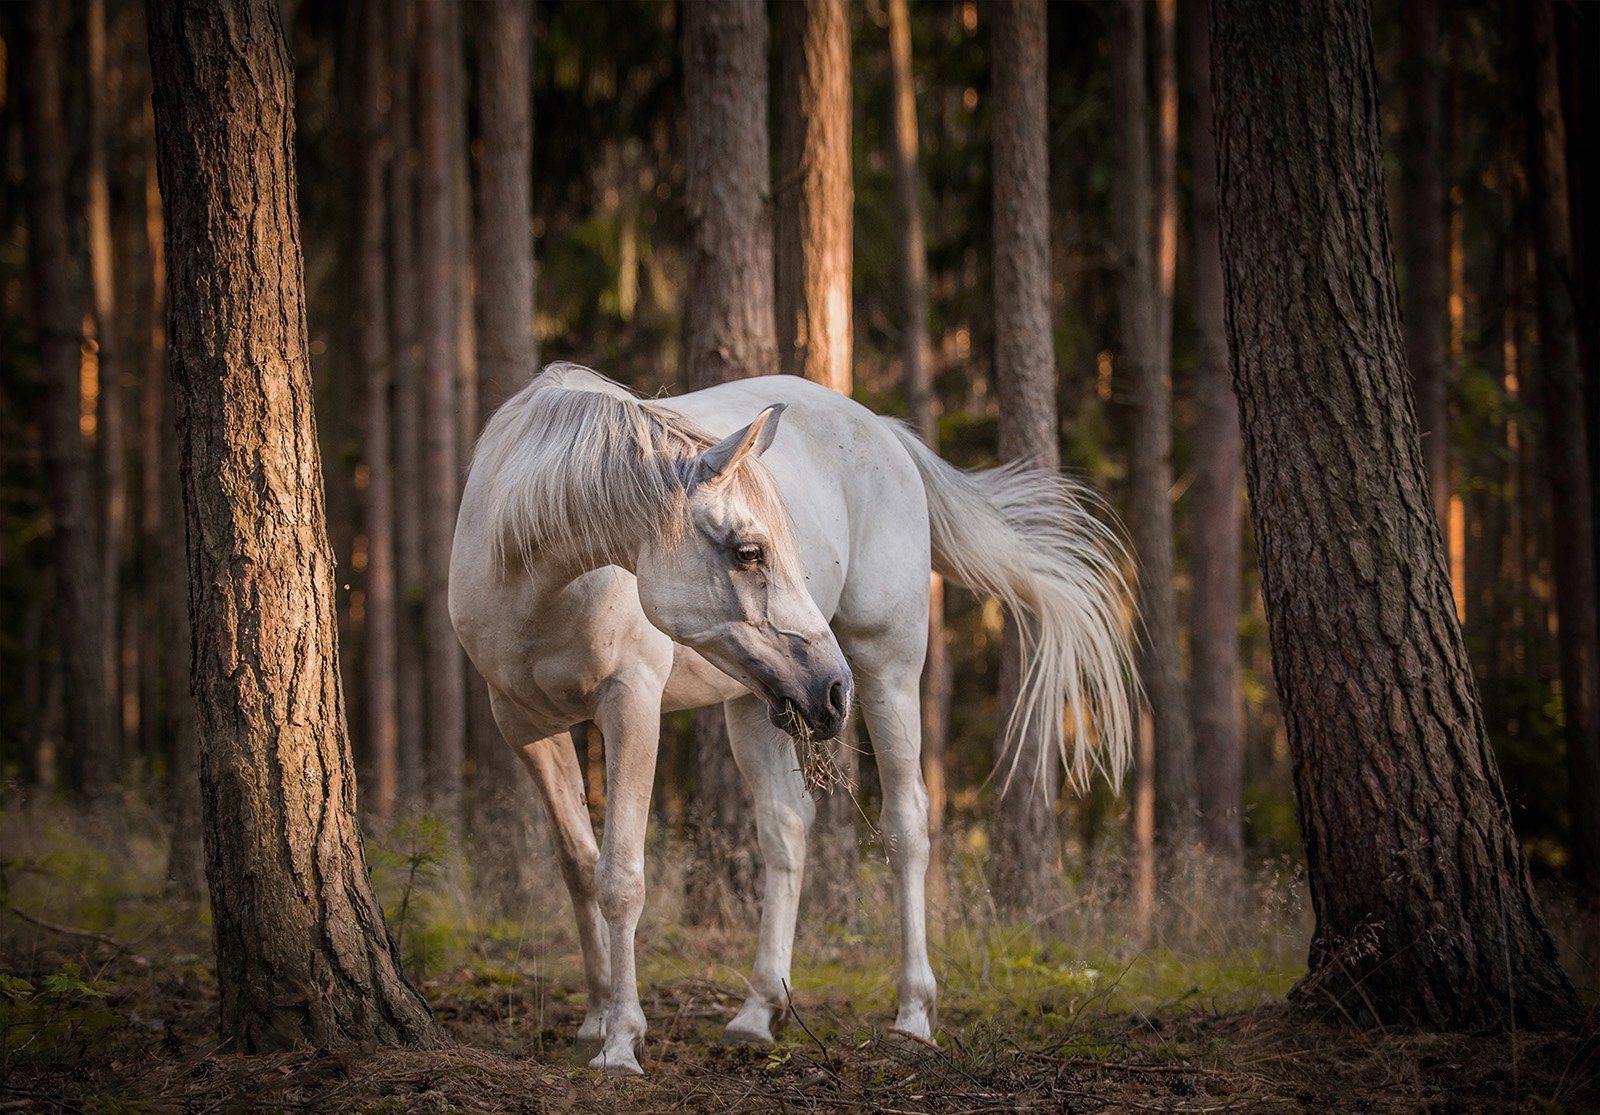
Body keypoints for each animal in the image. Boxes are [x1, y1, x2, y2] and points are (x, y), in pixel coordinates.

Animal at [444, 363, 1132, 1068]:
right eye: (749, 551)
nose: (833, 690)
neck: (535, 578)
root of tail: (884, 431)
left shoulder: (630, 706)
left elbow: (620, 877)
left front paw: (621, 1045)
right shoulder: (526, 729)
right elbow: (580, 868)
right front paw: (596, 1018)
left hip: (887, 665)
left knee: (906, 825)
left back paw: (913, 1015)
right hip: (758, 700)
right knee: (786, 832)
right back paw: (758, 1010)